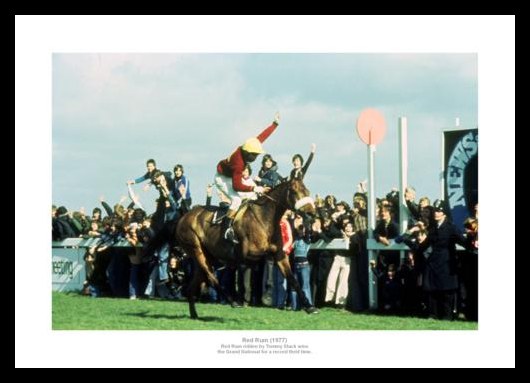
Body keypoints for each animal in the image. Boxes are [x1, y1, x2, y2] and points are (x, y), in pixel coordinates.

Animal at [176, 178, 318, 320]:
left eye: (307, 191)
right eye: (294, 191)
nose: (311, 213)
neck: (264, 218)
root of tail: (184, 217)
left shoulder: (279, 255)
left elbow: (292, 279)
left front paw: (310, 307)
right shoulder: (249, 254)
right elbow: (254, 272)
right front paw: (264, 295)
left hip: (208, 256)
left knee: (194, 284)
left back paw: (194, 314)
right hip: (196, 249)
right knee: (211, 277)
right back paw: (231, 300)